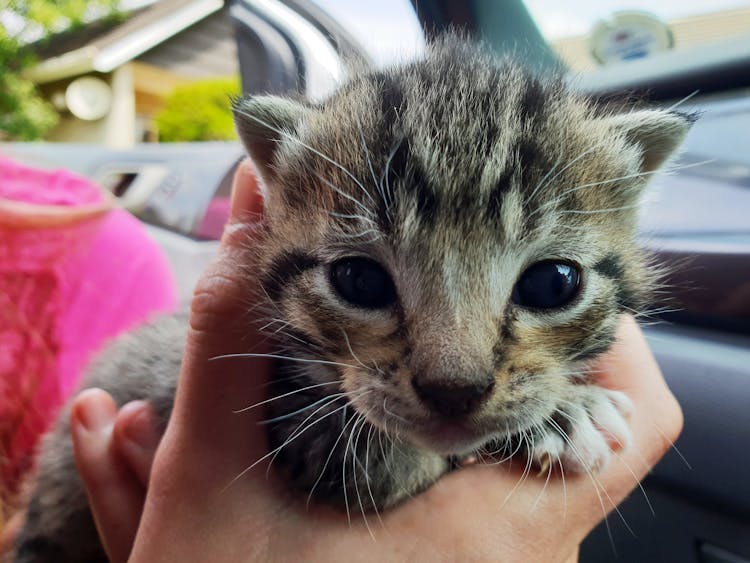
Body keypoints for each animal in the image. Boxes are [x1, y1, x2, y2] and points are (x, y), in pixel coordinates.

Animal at [11, 37, 692, 560]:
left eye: (553, 283)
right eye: (359, 282)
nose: (454, 390)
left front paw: (563, 408)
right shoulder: (293, 433)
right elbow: (378, 460)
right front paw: (565, 415)